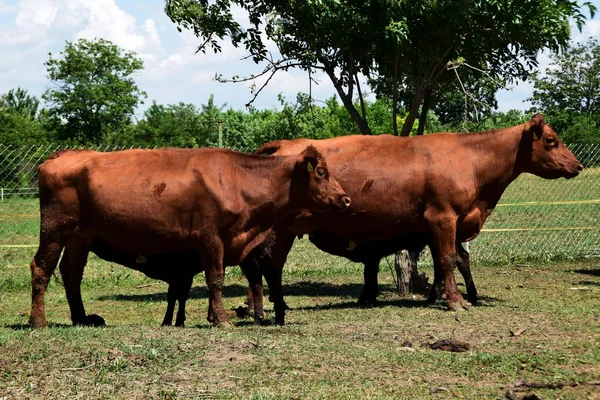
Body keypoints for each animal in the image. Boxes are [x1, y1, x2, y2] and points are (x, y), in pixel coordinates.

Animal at [28, 145, 350, 326]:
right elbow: (215, 279)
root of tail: (63, 156)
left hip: (78, 237)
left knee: (71, 273)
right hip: (54, 229)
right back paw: (38, 320)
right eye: (321, 173)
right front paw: (221, 320)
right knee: (41, 268)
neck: (237, 180)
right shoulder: (211, 239)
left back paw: (81, 318)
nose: (346, 199)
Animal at [252, 113, 580, 324]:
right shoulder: (443, 218)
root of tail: (284, 144)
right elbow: (447, 260)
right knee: (267, 265)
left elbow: (443, 261)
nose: (577, 165)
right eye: (551, 140)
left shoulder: (441, 225)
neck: (470, 158)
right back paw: (274, 308)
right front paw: (456, 301)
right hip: (279, 231)